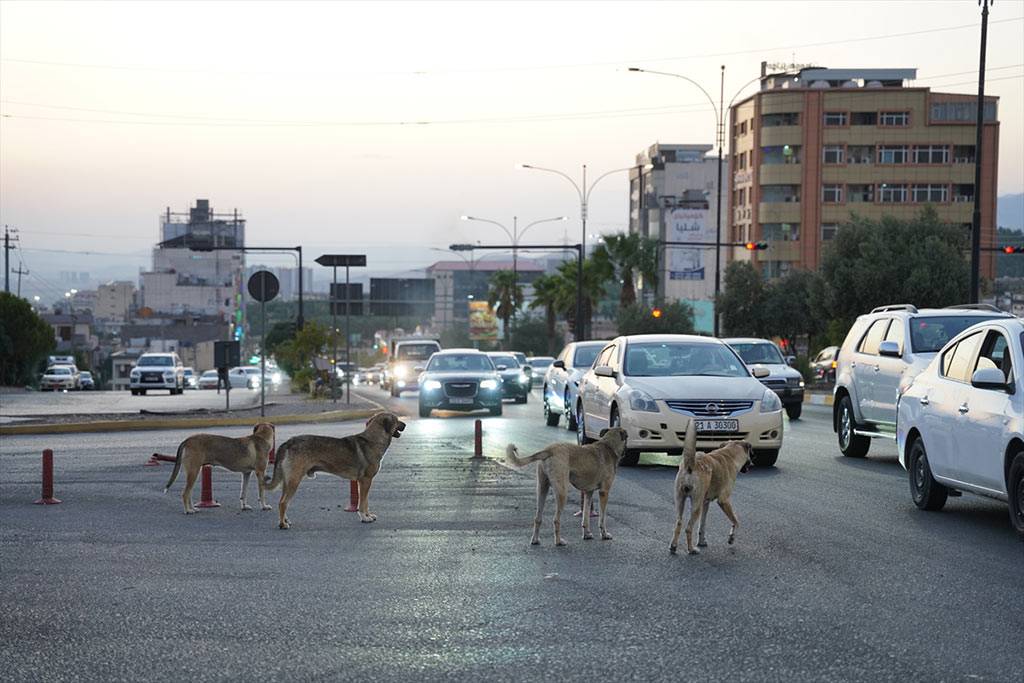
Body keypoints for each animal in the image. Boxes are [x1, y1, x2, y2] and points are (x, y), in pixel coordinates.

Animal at [262, 411, 405, 528]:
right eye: (397, 420)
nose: (405, 425)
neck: (373, 440)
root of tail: (288, 442)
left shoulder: (365, 482)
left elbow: (366, 502)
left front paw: (368, 515)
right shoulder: (365, 481)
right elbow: (363, 503)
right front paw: (365, 517)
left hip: (288, 481)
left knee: (282, 501)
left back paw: (286, 520)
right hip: (294, 481)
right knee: (283, 503)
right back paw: (282, 524)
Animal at [667, 421, 757, 557]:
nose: (751, 464)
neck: (730, 454)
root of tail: (691, 464)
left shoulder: (706, 503)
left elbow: (702, 525)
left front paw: (701, 541)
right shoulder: (724, 501)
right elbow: (736, 521)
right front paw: (731, 537)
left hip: (680, 500)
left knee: (678, 523)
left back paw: (673, 546)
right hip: (696, 504)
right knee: (688, 528)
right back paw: (691, 549)